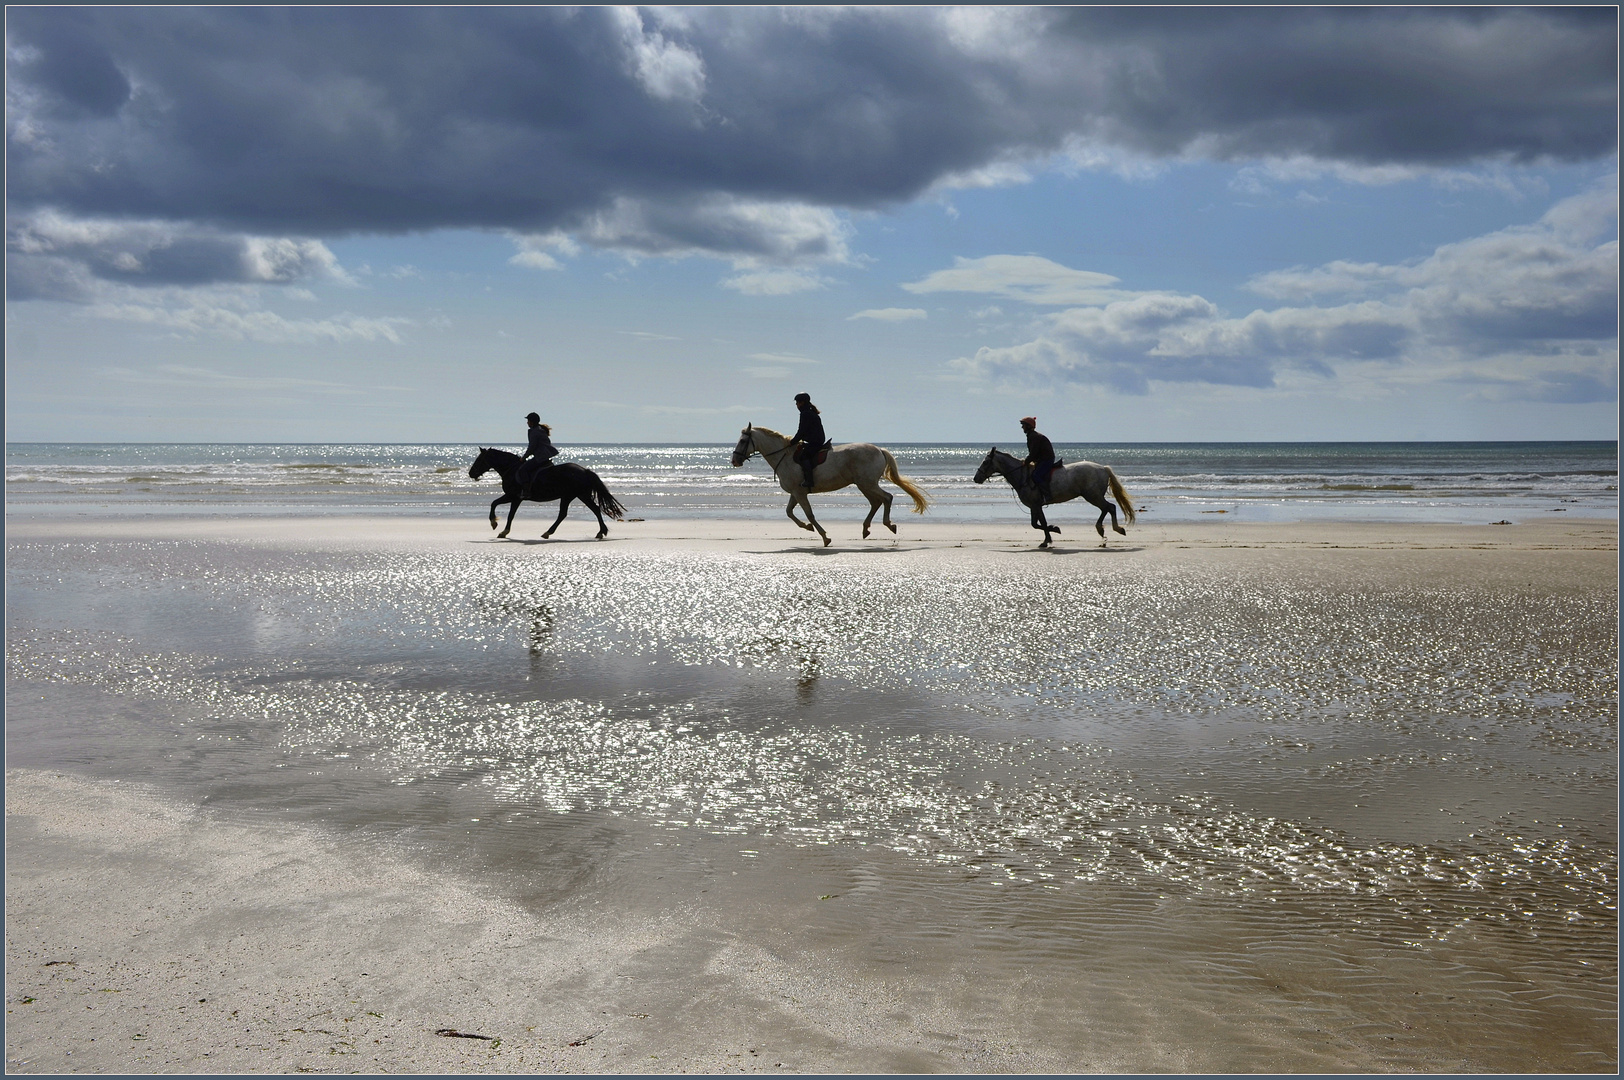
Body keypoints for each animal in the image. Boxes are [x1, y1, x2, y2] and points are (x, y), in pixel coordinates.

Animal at [470, 444, 626, 535]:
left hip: (576, 495)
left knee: (582, 511)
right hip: (574, 496)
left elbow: (499, 507)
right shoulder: (515, 498)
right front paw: (501, 528)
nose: (471, 473)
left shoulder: (513, 496)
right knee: (583, 511)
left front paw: (496, 525)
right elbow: (503, 510)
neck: (512, 469)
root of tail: (585, 470)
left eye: (479, 460)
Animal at [734, 422, 928, 539]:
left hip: (867, 483)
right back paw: (866, 529)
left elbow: (809, 514)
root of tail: (879, 449)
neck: (785, 457)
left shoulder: (799, 493)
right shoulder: (796, 493)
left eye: (743, 441)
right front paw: (807, 527)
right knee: (876, 502)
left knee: (887, 498)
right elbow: (789, 512)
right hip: (864, 485)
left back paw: (889, 525)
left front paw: (824, 536)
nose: (734, 461)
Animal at [967, 444, 1136, 548]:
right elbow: (1035, 524)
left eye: (986, 462)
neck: (1023, 476)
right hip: (1093, 496)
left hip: (1092, 496)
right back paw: (1103, 530)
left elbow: (1041, 522)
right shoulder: (1034, 506)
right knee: (1106, 509)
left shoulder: (1036, 505)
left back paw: (1113, 529)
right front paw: (1054, 530)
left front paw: (1048, 539)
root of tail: (1103, 468)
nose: (976, 478)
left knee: (1110, 507)